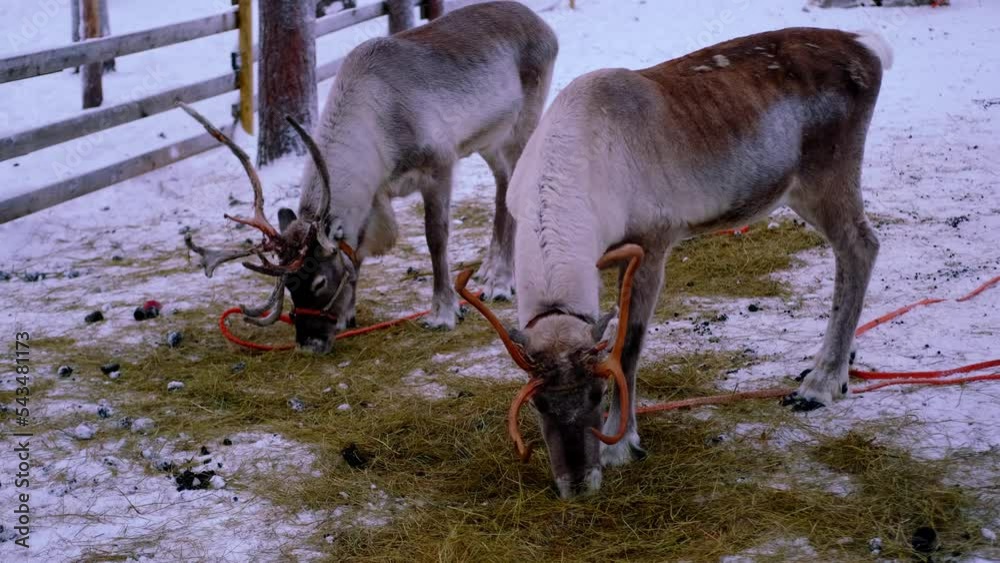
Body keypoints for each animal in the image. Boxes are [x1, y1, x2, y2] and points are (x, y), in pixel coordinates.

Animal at [183, 1, 558, 353]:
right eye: (289, 285)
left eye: (319, 282)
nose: (309, 342)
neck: (377, 130)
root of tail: (543, 26)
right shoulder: (375, 194)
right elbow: (358, 249)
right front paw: (348, 314)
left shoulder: (439, 164)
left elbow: (435, 239)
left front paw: (443, 312)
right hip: (489, 138)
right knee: (503, 182)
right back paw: (491, 269)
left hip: (523, 122)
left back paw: (501, 282)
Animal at [457, 27, 893, 498]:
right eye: (537, 402)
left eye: (596, 393)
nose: (579, 485)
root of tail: (867, 47)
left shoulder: (652, 242)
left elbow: (628, 346)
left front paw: (621, 444)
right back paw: (836, 363)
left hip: (826, 177)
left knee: (861, 246)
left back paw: (821, 384)